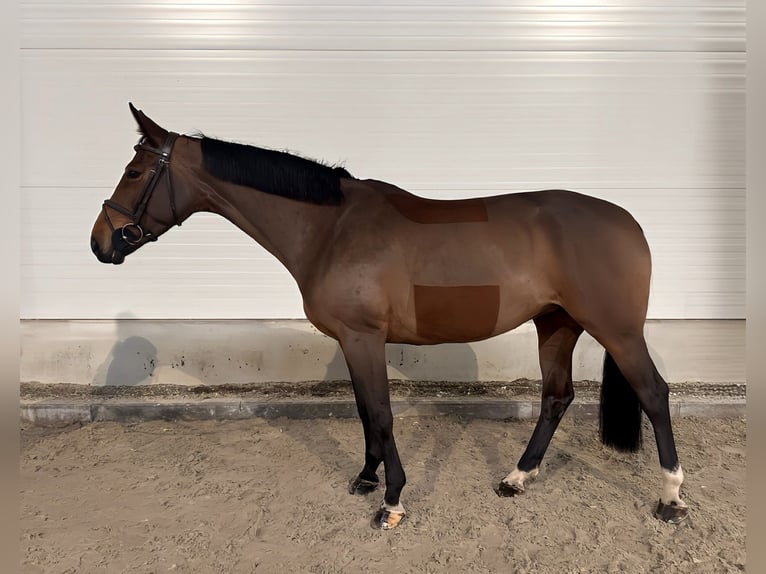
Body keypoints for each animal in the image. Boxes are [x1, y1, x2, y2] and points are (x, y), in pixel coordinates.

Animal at [88, 103, 688, 532]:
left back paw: (671, 498)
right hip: (556, 324)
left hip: (617, 330)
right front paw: (365, 477)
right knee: (556, 397)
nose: (100, 243)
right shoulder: (352, 342)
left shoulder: (363, 338)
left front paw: (393, 501)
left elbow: (381, 413)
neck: (332, 229)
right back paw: (517, 477)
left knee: (654, 393)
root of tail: (628, 221)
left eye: (135, 171)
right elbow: (362, 412)